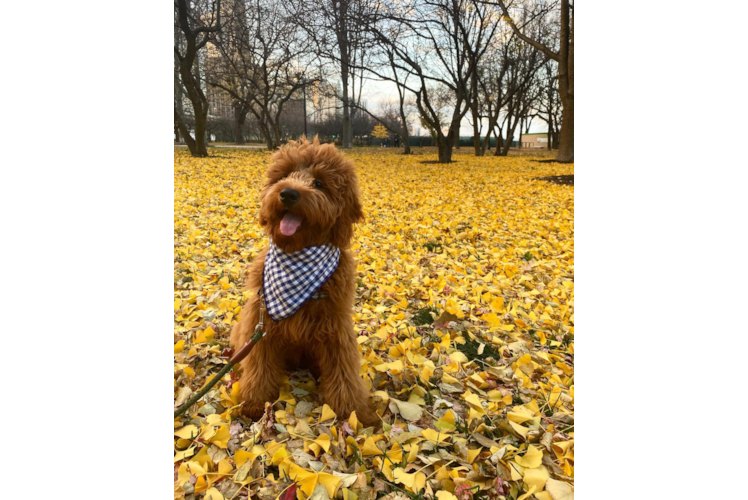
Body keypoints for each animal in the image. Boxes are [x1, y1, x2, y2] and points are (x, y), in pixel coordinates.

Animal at [229, 136, 380, 426]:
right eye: (285, 175)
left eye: (319, 183)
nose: (288, 193)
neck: (297, 256)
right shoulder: (261, 321)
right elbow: (258, 365)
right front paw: (254, 401)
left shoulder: (335, 326)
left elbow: (344, 370)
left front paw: (353, 411)